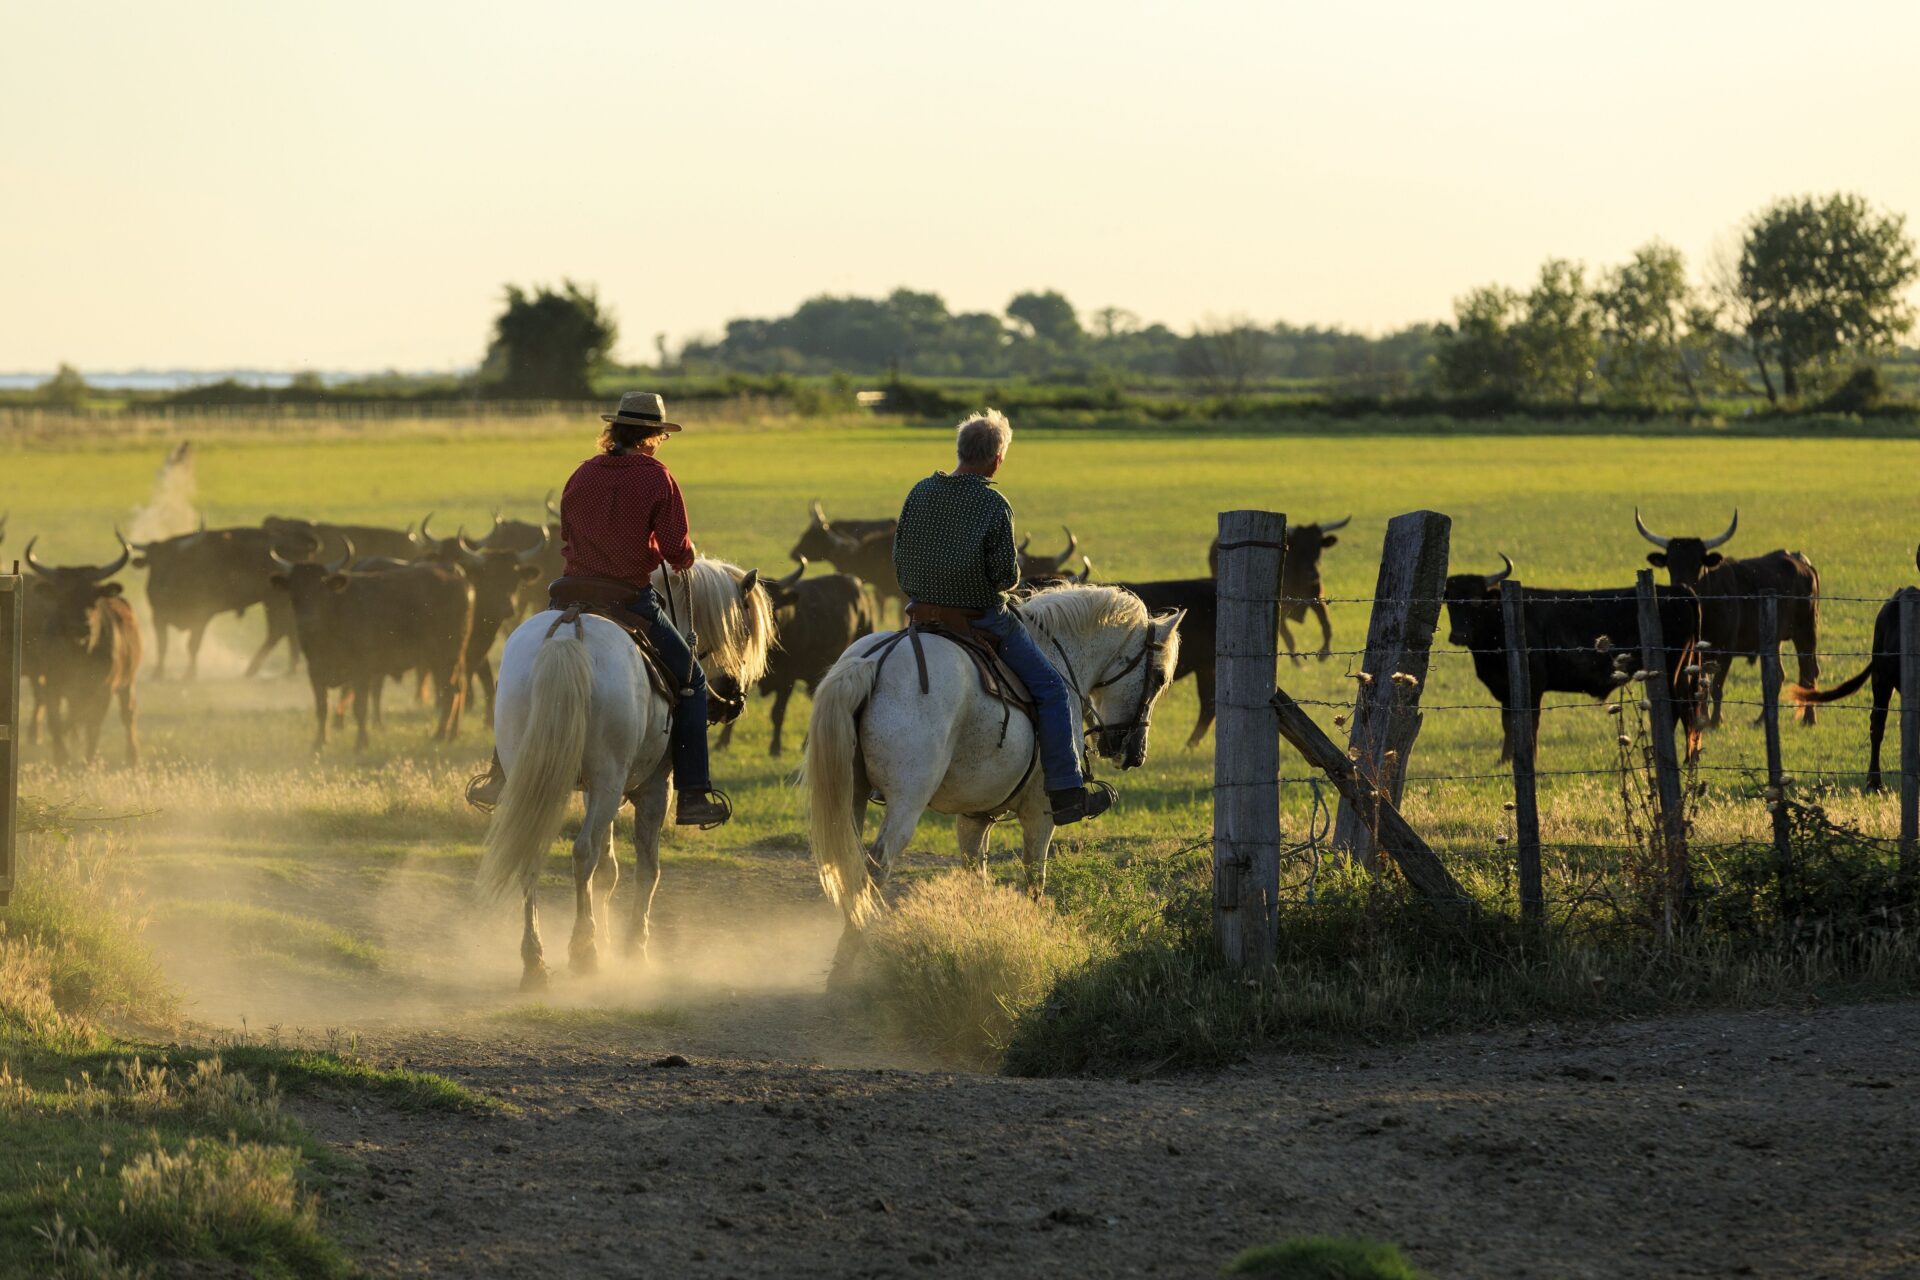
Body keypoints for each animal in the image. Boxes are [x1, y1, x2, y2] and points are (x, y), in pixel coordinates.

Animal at [476, 560, 775, 990]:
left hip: (539, 779)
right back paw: (583, 951)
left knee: (532, 850)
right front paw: (634, 948)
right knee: (582, 852)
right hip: (608, 781)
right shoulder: (653, 789)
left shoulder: (594, 791)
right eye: (742, 629)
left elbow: (607, 871)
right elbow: (647, 869)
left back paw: (535, 962)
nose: (733, 700)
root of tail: (568, 633)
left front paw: (610, 939)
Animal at [798, 583, 1182, 959]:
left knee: (850, 865)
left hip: (851, 796)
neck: (1059, 656)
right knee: (876, 865)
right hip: (906, 801)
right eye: (1159, 677)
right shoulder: (1040, 813)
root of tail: (874, 662)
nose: (1134, 754)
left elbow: (975, 879)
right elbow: (1034, 879)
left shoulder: (974, 817)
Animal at [1443, 556, 1704, 759]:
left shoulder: (1532, 685)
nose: (1458, 635)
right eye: (1449, 602)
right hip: (1684, 671)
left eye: (1475, 601)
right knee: (1689, 710)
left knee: (1676, 709)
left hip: (1670, 670)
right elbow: (1509, 724)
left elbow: (1528, 722)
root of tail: (1677, 590)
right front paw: (1506, 760)